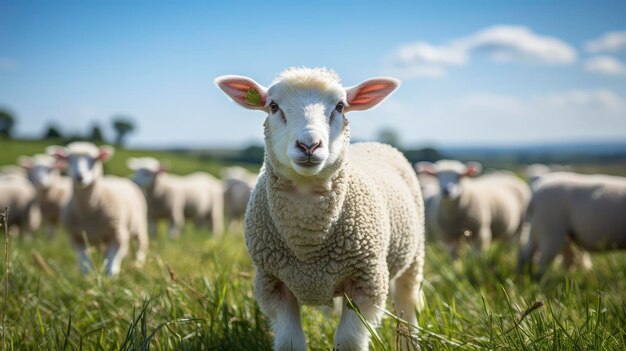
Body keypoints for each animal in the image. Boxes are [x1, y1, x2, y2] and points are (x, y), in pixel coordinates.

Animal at [47, 142, 147, 276]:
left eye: (94, 160)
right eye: (69, 159)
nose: (79, 177)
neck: (88, 211)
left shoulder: (118, 235)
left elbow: (113, 262)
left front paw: (111, 277)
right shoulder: (76, 238)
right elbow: (84, 262)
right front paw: (87, 276)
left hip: (138, 226)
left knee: (140, 247)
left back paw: (138, 264)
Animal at [214, 67, 424, 350]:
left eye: (340, 106)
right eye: (273, 106)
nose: (309, 145)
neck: (307, 241)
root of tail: (375, 143)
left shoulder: (367, 283)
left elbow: (348, 341)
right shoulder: (272, 284)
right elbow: (290, 342)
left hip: (414, 255)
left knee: (407, 302)